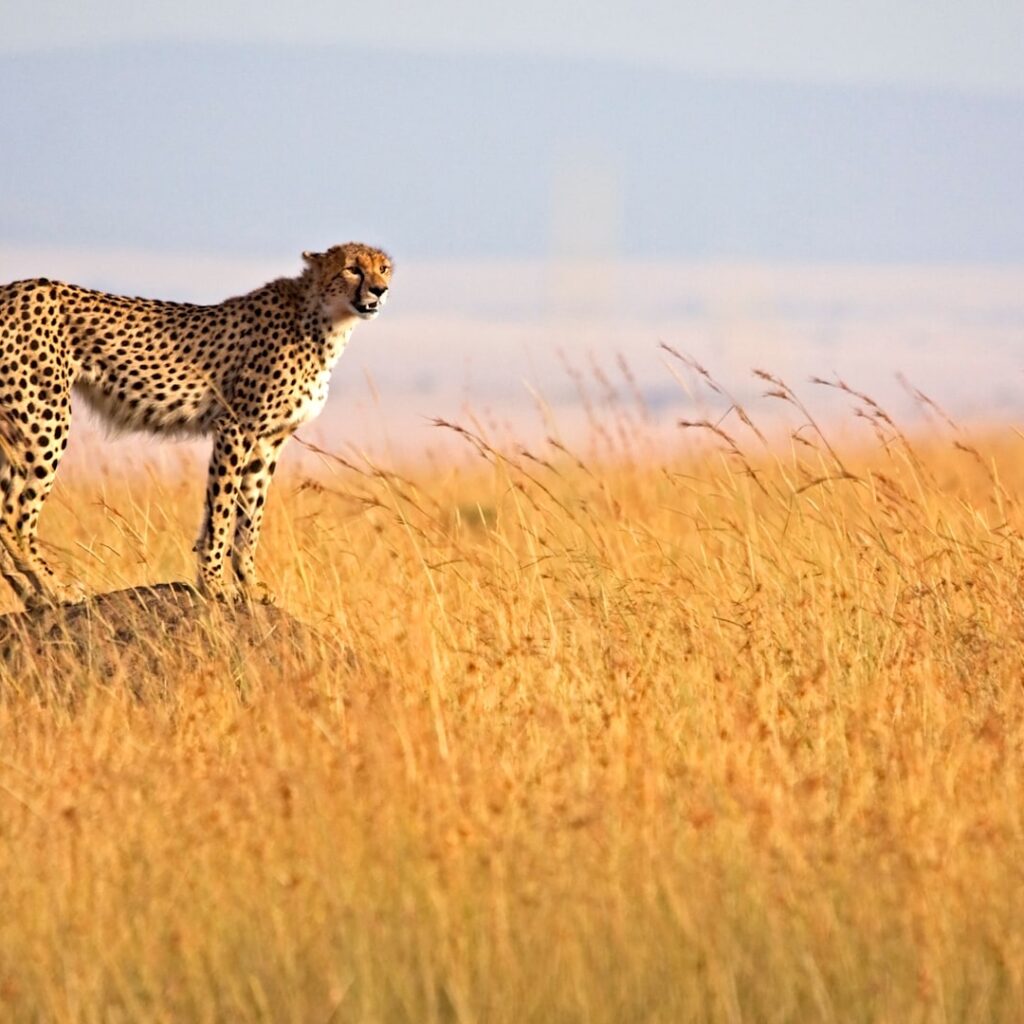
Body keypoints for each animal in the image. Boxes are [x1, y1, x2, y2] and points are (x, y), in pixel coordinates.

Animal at [0, 242, 392, 607]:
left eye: (384, 268)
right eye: (353, 269)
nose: (380, 290)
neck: (325, 319)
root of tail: (12, 289)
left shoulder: (268, 440)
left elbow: (250, 515)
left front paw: (249, 584)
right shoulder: (236, 426)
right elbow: (222, 508)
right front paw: (214, 584)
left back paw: (31, 594)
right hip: (45, 417)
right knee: (15, 516)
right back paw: (56, 590)